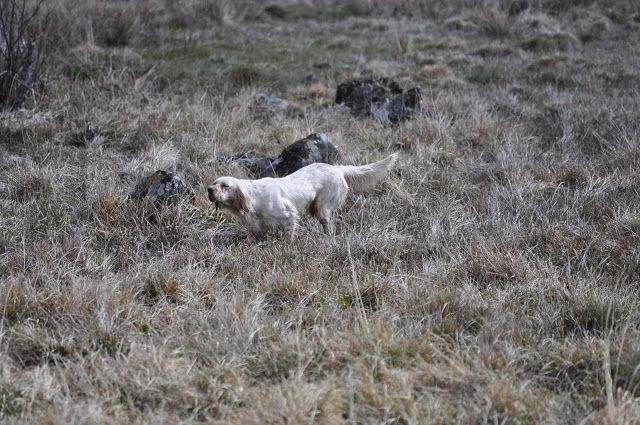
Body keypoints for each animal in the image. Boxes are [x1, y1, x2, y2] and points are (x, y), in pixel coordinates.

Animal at [208, 153, 398, 240]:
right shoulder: (256, 226)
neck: (253, 199)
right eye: (214, 182)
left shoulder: (289, 214)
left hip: (321, 207)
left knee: (327, 223)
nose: (209, 189)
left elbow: (289, 234)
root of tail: (338, 168)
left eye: (225, 186)